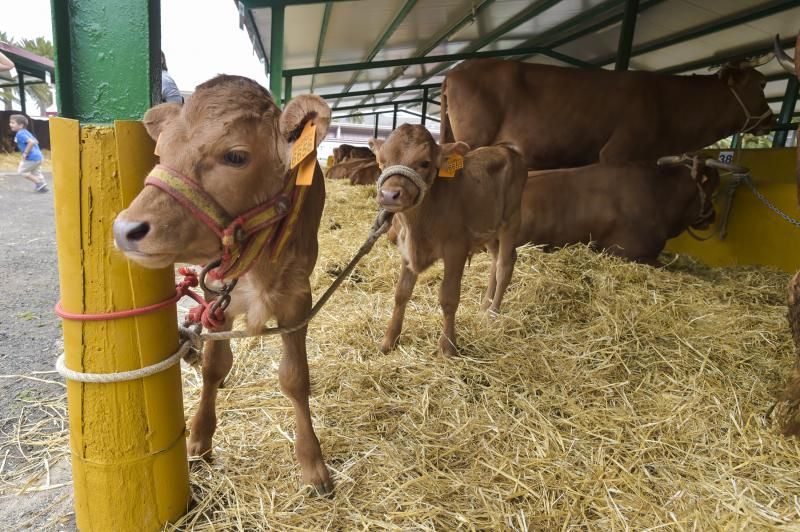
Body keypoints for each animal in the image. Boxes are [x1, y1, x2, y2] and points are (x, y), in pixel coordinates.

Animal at [112, 74, 334, 494]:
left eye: (235, 157)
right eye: (161, 154)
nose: (125, 229)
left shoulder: (298, 298)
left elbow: (295, 378)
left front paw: (312, 462)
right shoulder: (217, 292)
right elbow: (215, 367)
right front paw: (199, 438)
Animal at [372, 124, 528, 356]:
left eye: (425, 162)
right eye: (382, 162)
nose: (389, 195)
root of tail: (506, 149)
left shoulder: (456, 248)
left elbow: (448, 297)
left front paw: (447, 347)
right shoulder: (406, 248)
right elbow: (401, 293)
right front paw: (389, 340)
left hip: (511, 219)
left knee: (505, 264)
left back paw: (493, 312)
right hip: (487, 228)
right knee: (496, 260)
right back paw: (485, 305)